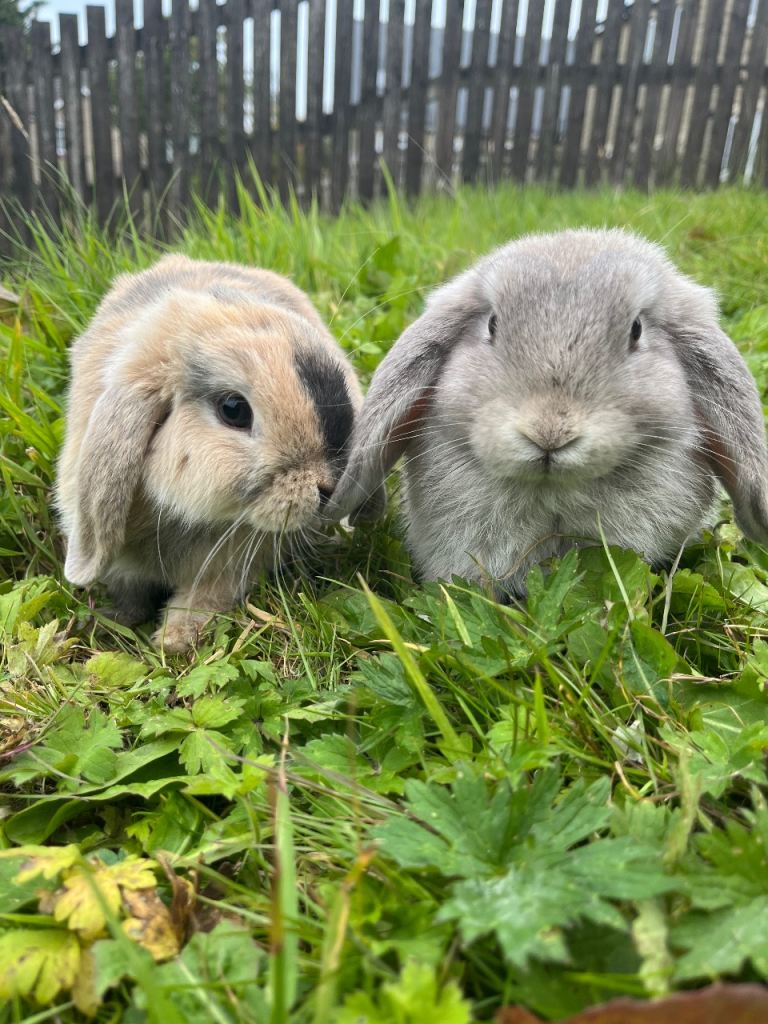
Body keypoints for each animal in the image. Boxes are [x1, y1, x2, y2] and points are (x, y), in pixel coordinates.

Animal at [56, 253, 378, 652]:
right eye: (233, 409)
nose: (329, 488)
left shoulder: (225, 569)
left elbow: (202, 599)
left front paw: (173, 640)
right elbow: (130, 595)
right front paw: (117, 621)